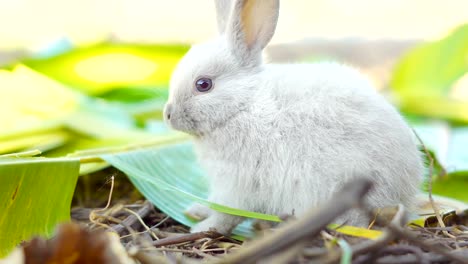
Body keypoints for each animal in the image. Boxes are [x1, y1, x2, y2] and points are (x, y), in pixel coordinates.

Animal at [164, 0, 424, 235]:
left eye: (203, 84)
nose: (168, 115)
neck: (243, 104)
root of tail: (404, 193)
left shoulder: (237, 184)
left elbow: (227, 214)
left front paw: (202, 228)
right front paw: (197, 210)